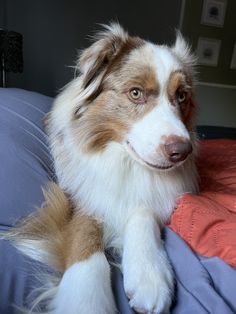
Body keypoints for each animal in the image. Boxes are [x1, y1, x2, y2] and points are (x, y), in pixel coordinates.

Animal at [5, 24, 198, 314]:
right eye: (136, 93)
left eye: (182, 96)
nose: (182, 151)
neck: (122, 161)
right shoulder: (75, 196)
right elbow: (85, 233)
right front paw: (85, 298)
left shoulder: (149, 195)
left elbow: (143, 210)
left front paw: (149, 274)